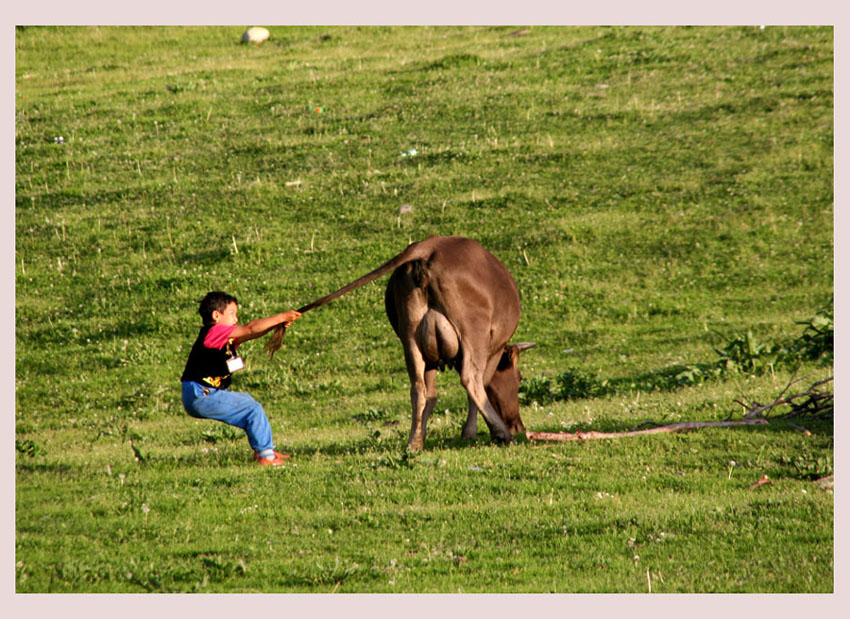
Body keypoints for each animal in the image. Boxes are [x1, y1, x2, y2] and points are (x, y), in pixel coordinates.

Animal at [264, 236, 532, 450]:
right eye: (519, 378)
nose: (518, 425)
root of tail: (430, 246)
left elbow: (431, 395)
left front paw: (422, 434)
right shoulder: (493, 349)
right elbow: (480, 387)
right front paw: (471, 433)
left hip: (410, 336)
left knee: (417, 387)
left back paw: (414, 443)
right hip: (472, 332)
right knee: (471, 380)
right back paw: (504, 435)